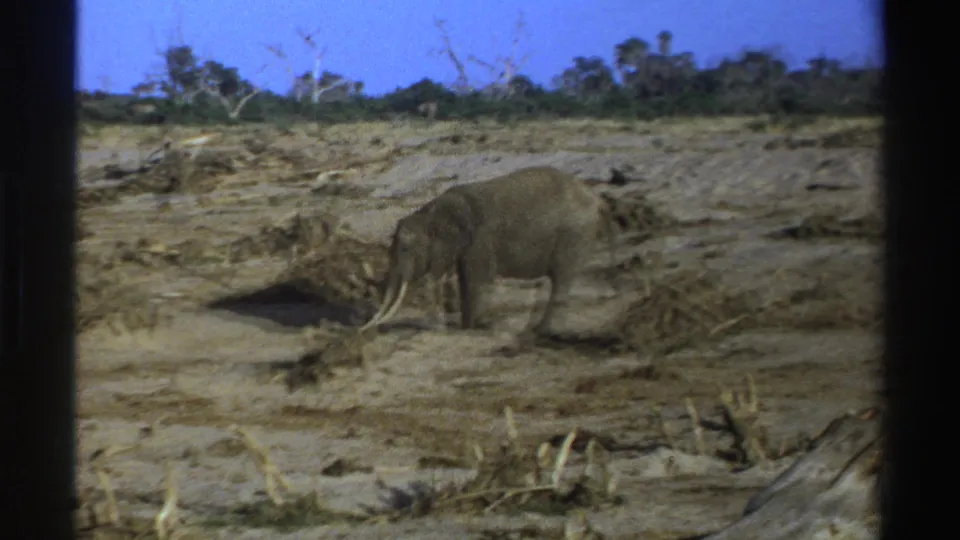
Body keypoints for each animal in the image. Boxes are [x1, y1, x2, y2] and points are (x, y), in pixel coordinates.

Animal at [361, 166, 616, 335]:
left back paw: (542, 331)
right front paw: (466, 328)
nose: (363, 330)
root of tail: (596, 198)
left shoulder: (480, 240)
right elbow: (465, 281)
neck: (431, 211)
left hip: (574, 233)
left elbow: (477, 280)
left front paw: (472, 329)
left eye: (405, 248)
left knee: (562, 278)